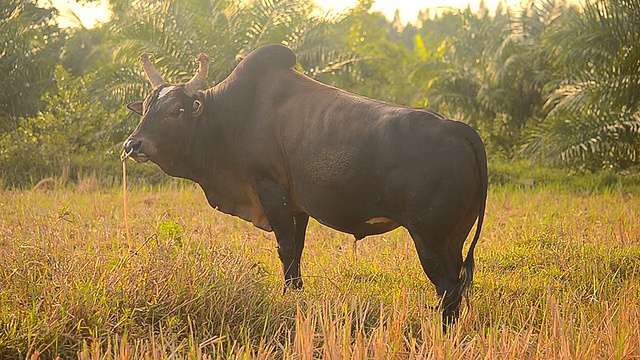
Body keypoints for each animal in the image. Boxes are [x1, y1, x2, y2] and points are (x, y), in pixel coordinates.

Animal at [124, 44, 484, 326]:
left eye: (174, 111)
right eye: (145, 109)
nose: (132, 144)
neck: (230, 117)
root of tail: (459, 129)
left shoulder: (271, 192)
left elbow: (285, 251)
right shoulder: (297, 207)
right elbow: (296, 255)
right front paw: (294, 297)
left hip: (429, 238)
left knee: (448, 288)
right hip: (453, 239)